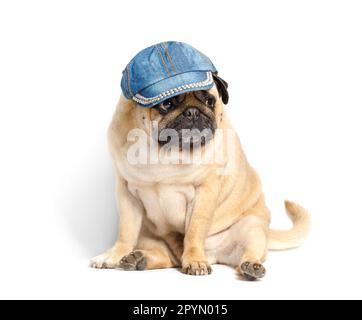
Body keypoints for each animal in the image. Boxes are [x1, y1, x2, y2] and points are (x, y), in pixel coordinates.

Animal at [90, 70, 312, 280]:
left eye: (209, 101)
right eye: (167, 104)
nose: (193, 112)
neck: (166, 153)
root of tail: (213, 255)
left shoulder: (204, 192)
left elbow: (194, 230)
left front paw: (195, 260)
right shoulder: (126, 194)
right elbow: (125, 232)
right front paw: (113, 255)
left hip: (251, 227)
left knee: (250, 252)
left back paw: (250, 267)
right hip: (148, 236)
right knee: (168, 258)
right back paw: (138, 259)